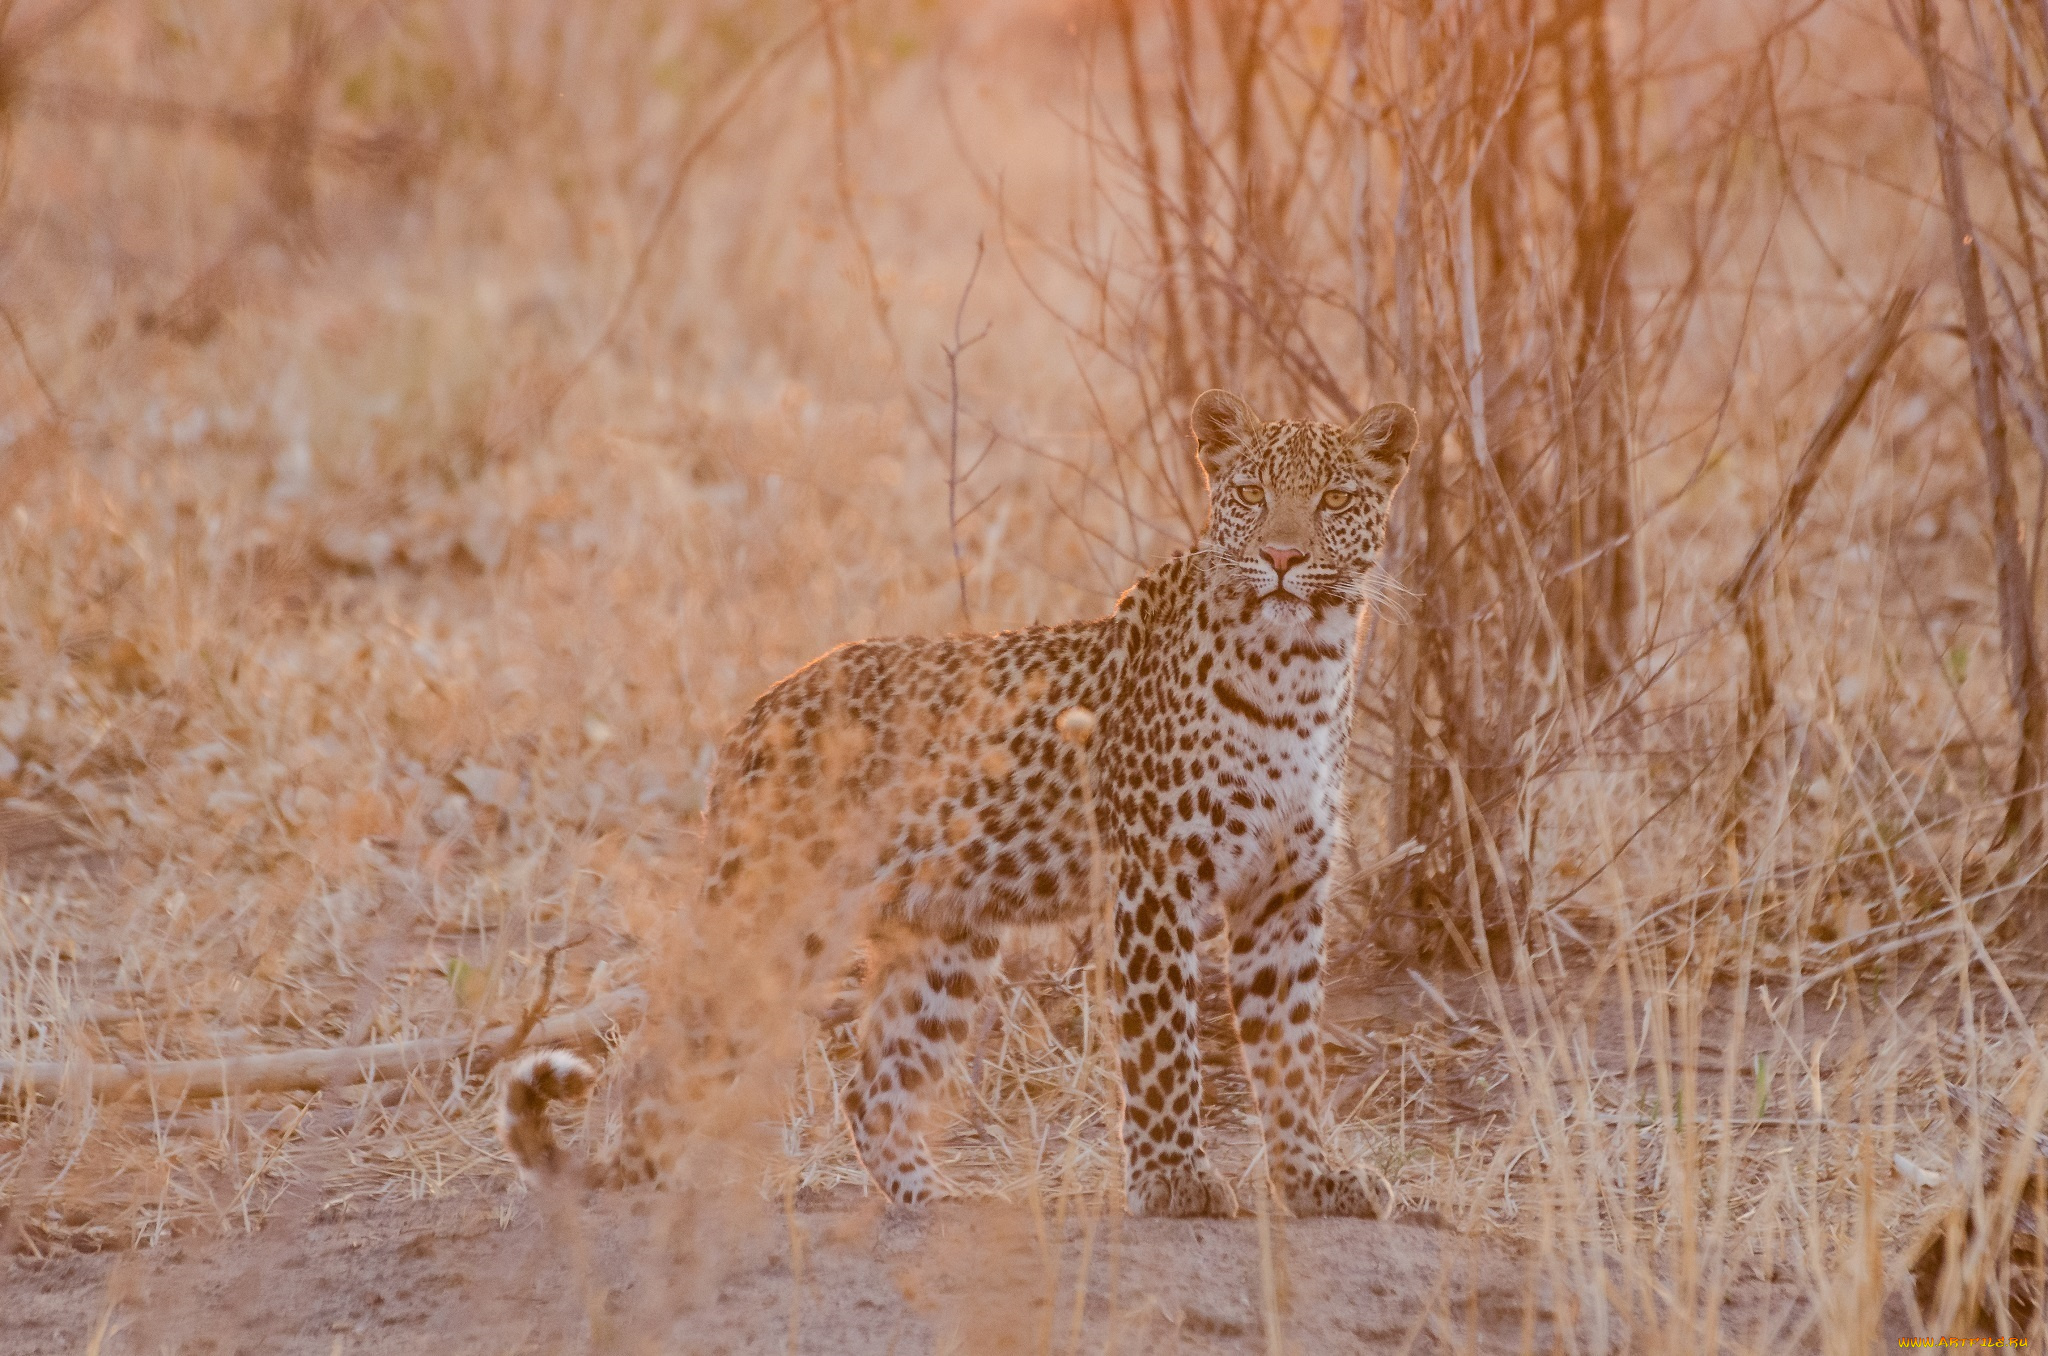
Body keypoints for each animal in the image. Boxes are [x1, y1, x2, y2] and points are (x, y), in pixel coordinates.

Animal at [503, 391, 1417, 1220]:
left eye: (1335, 500)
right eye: (1252, 494)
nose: (1283, 555)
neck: (1300, 669)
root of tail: (751, 719)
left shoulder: (1286, 893)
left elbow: (1292, 1048)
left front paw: (1317, 1179)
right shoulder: (1155, 882)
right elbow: (1164, 1046)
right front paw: (1174, 1184)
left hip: (943, 939)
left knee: (873, 1083)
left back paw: (934, 1200)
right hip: (773, 914)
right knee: (662, 1053)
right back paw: (637, 1186)